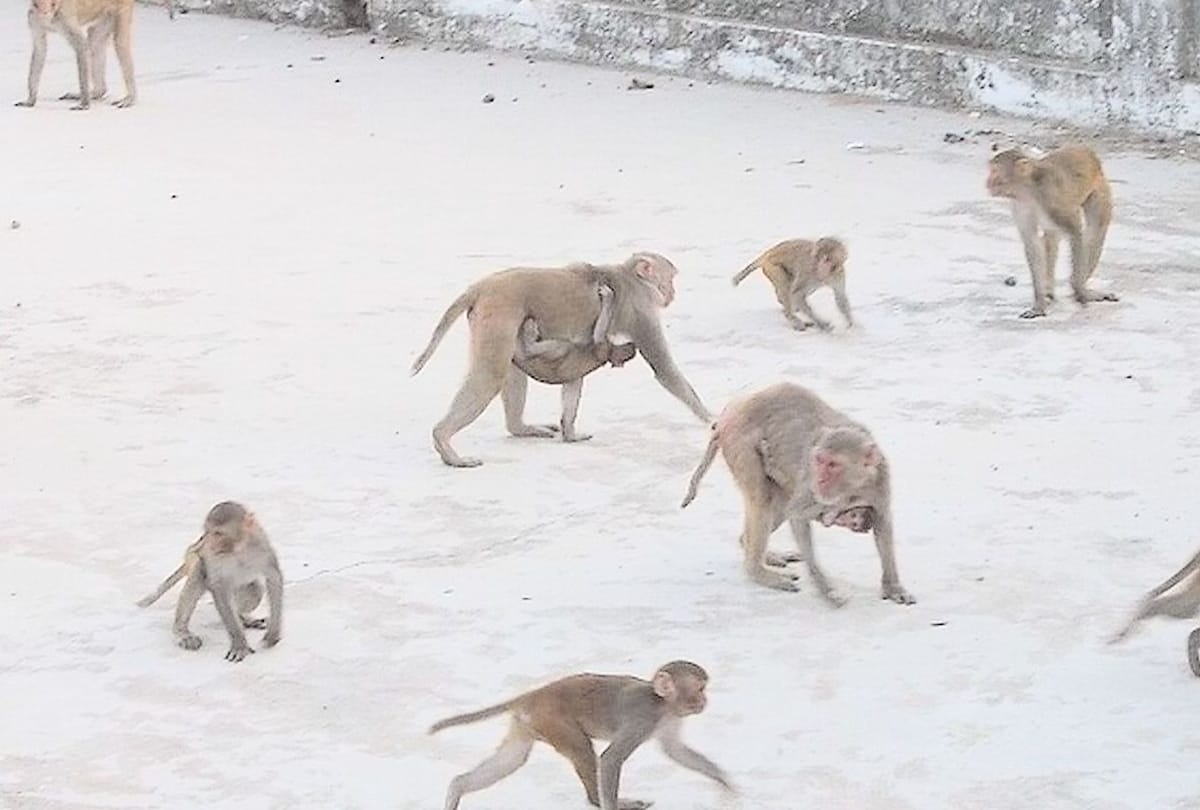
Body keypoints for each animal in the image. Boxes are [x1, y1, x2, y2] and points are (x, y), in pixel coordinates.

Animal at [136, 501, 283, 662]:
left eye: (218, 533)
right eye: (208, 531)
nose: (208, 542)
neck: (238, 549)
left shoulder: (262, 545)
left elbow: (273, 577)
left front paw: (272, 634)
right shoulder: (214, 557)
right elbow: (219, 588)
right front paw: (239, 644)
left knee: (254, 590)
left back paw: (243, 619)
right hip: (192, 556)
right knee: (198, 572)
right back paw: (182, 632)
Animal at [411, 252, 712, 467]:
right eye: (670, 278)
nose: (672, 292)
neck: (629, 277)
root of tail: (482, 286)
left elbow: (574, 379)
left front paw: (570, 432)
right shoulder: (640, 311)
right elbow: (664, 369)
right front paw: (710, 417)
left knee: (511, 368)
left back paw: (520, 428)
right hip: (499, 313)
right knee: (491, 374)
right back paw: (446, 445)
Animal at [428, 660, 733, 810]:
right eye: (700, 688)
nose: (705, 700)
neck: (661, 703)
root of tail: (534, 695)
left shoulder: (669, 719)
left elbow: (675, 751)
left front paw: (723, 781)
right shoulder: (642, 719)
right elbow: (610, 759)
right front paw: (609, 806)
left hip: (528, 725)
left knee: (512, 759)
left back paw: (457, 788)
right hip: (554, 721)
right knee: (583, 751)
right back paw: (599, 801)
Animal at [680, 382, 913, 606]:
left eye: (833, 465)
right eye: (819, 461)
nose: (820, 480)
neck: (852, 489)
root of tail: (730, 413)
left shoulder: (880, 480)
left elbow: (883, 521)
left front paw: (892, 587)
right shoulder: (811, 490)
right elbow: (797, 516)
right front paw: (826, 590)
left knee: (778, 501)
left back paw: (753, 548)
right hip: (740, 442)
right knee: (762, 499)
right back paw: (757, 571)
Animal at [985, 144, 1116, 319]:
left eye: (994, 171)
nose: (987, 182)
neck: (1028, 190)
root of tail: (1087, 151)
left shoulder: (1051, 199)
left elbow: (1075, 231)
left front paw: (1080, 291)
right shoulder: (1020, 206)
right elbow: (1032, 243)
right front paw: (1039, 305)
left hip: (1100, 189)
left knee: (1096, 230)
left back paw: (1084, 289)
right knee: (1050, 239)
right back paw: (1049, 292)